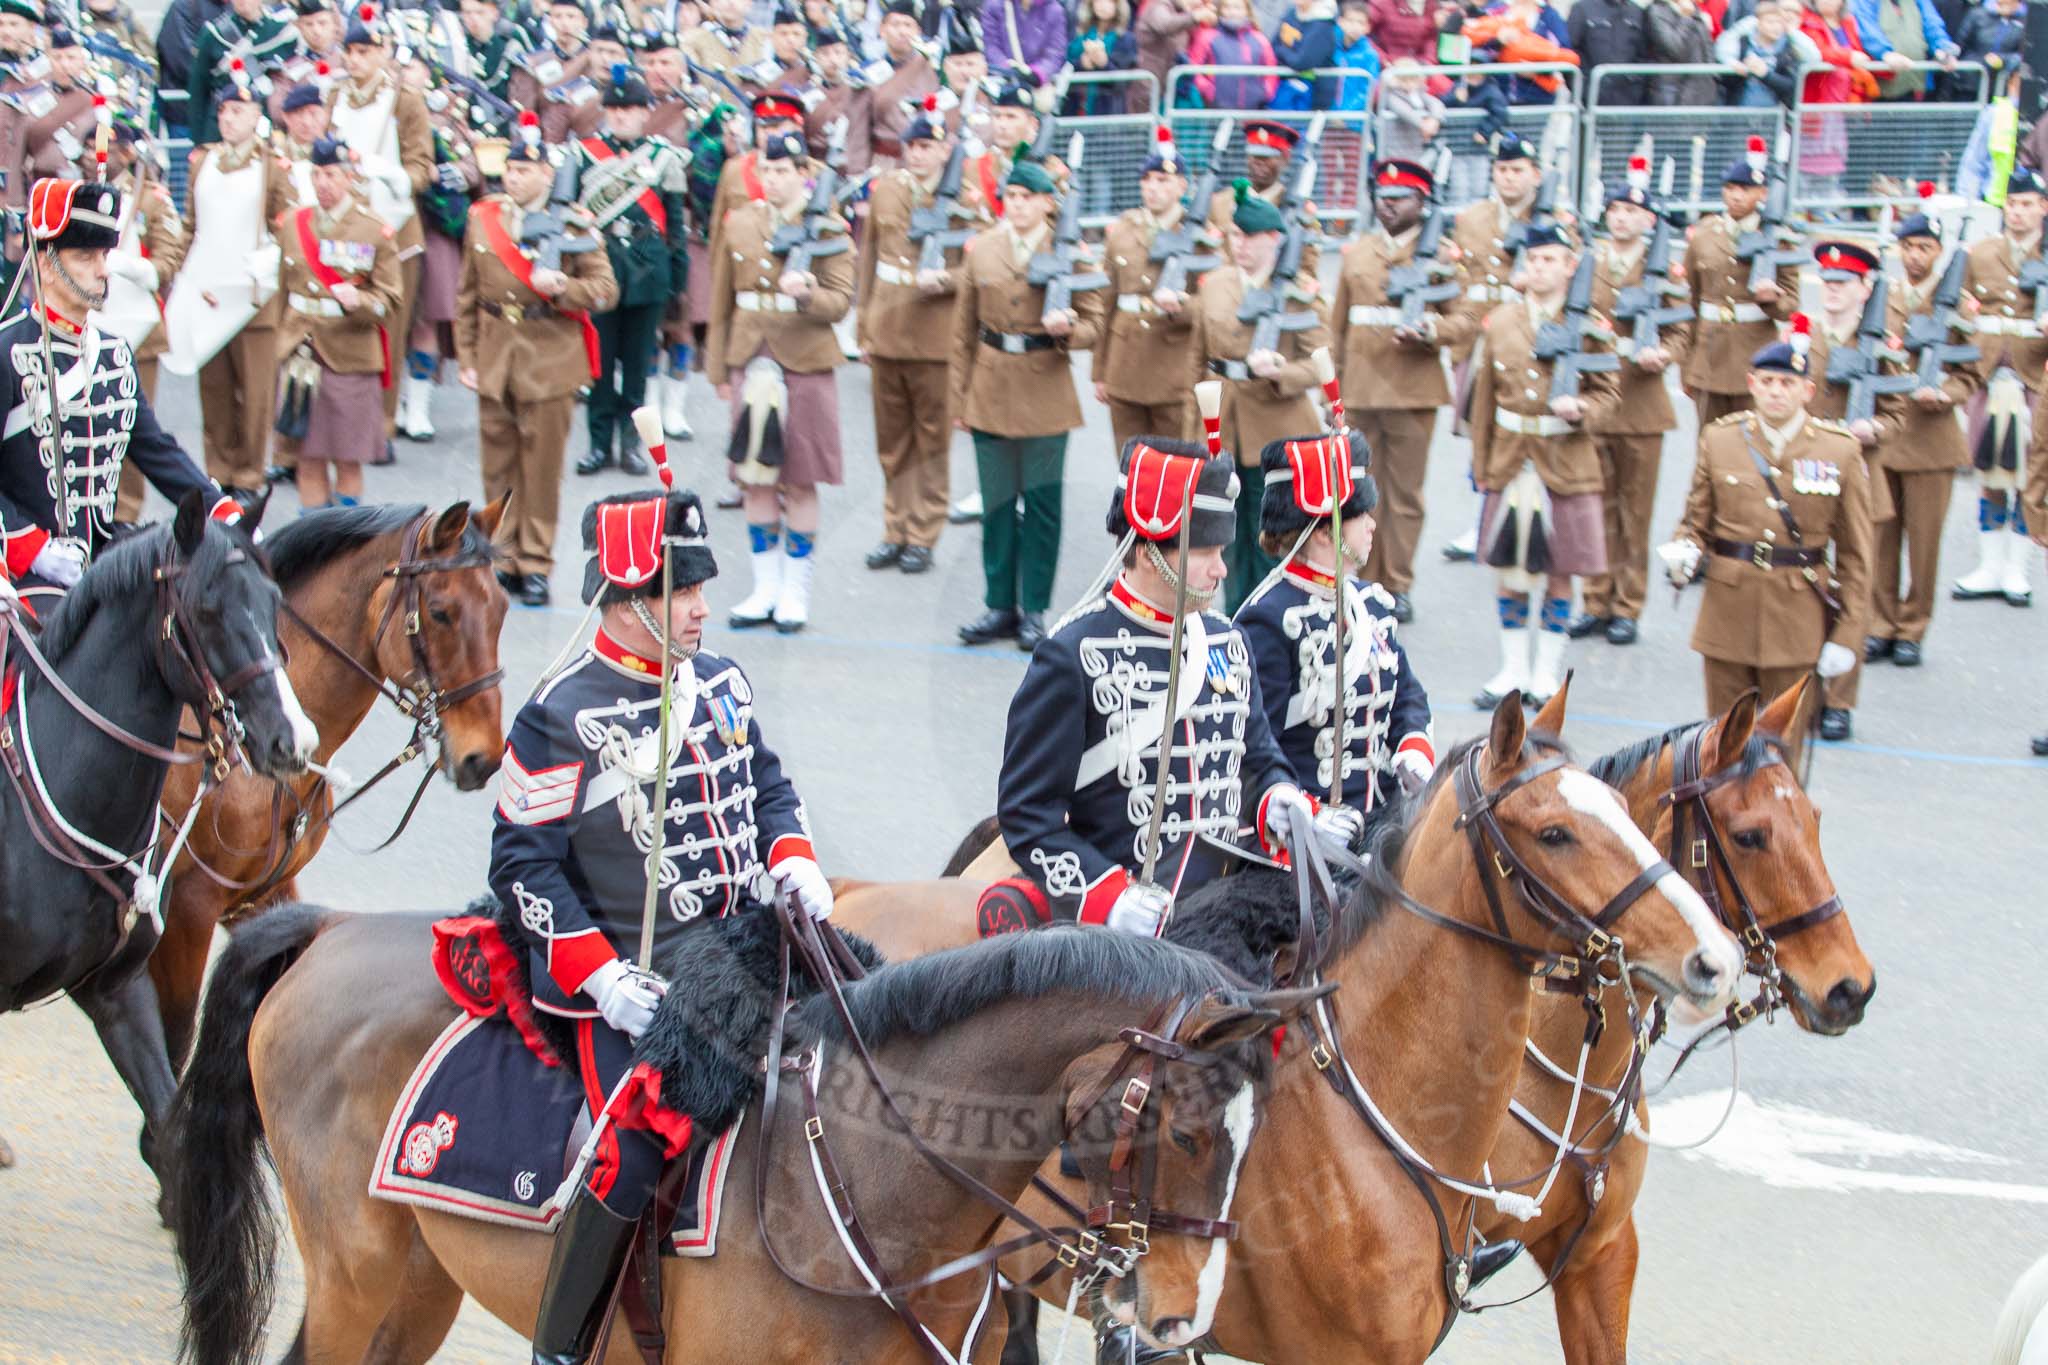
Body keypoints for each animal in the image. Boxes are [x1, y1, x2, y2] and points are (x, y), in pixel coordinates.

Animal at [163, 900, 1327, 1358]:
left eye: (1252, 1139)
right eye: (1183, 1132)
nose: (1180, 1319)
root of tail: (334, 923)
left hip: (412, 1283)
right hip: (359, 1274)